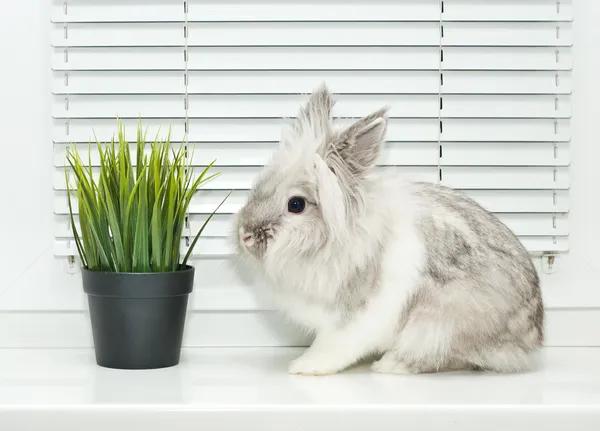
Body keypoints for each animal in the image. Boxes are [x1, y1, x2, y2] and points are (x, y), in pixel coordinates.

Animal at [234, 83, 544, 374]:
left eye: (296, 204)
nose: (245, 235)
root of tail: (531, 342)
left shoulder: (357, 318)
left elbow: (334, 344)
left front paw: (305, 366)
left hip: (438, 324)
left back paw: (390, 365)